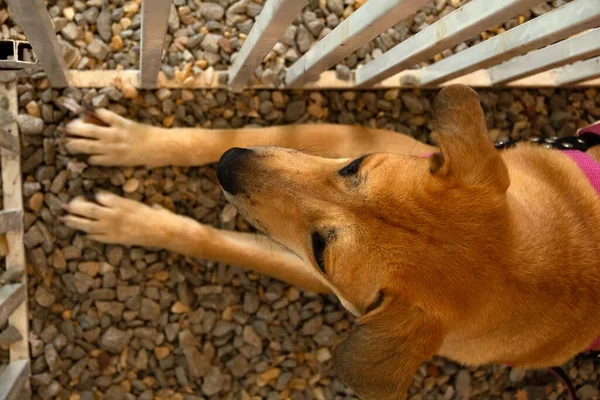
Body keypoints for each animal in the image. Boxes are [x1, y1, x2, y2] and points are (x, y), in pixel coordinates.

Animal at [62, 85, 600, 400]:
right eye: (353, 167)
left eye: (323, 250)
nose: (229, 165)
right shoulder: (369, 140)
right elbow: (244, 131)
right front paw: (128, 142)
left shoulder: (330, 283)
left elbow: (220, 241)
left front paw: (126, 220)